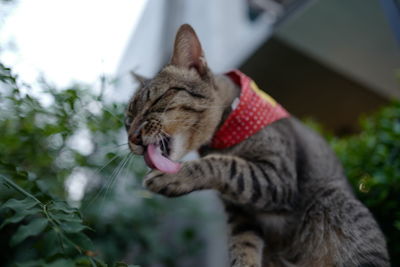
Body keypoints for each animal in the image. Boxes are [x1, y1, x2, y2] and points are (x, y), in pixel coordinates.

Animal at [124, 24, 388, 266]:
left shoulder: (279, 175)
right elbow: (242, 246)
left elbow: (226, 164)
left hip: (336, 202)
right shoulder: (240, 213)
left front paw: (174, 176)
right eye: (128, 120)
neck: (223, 137)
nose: (133, 137)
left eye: (157, 100)